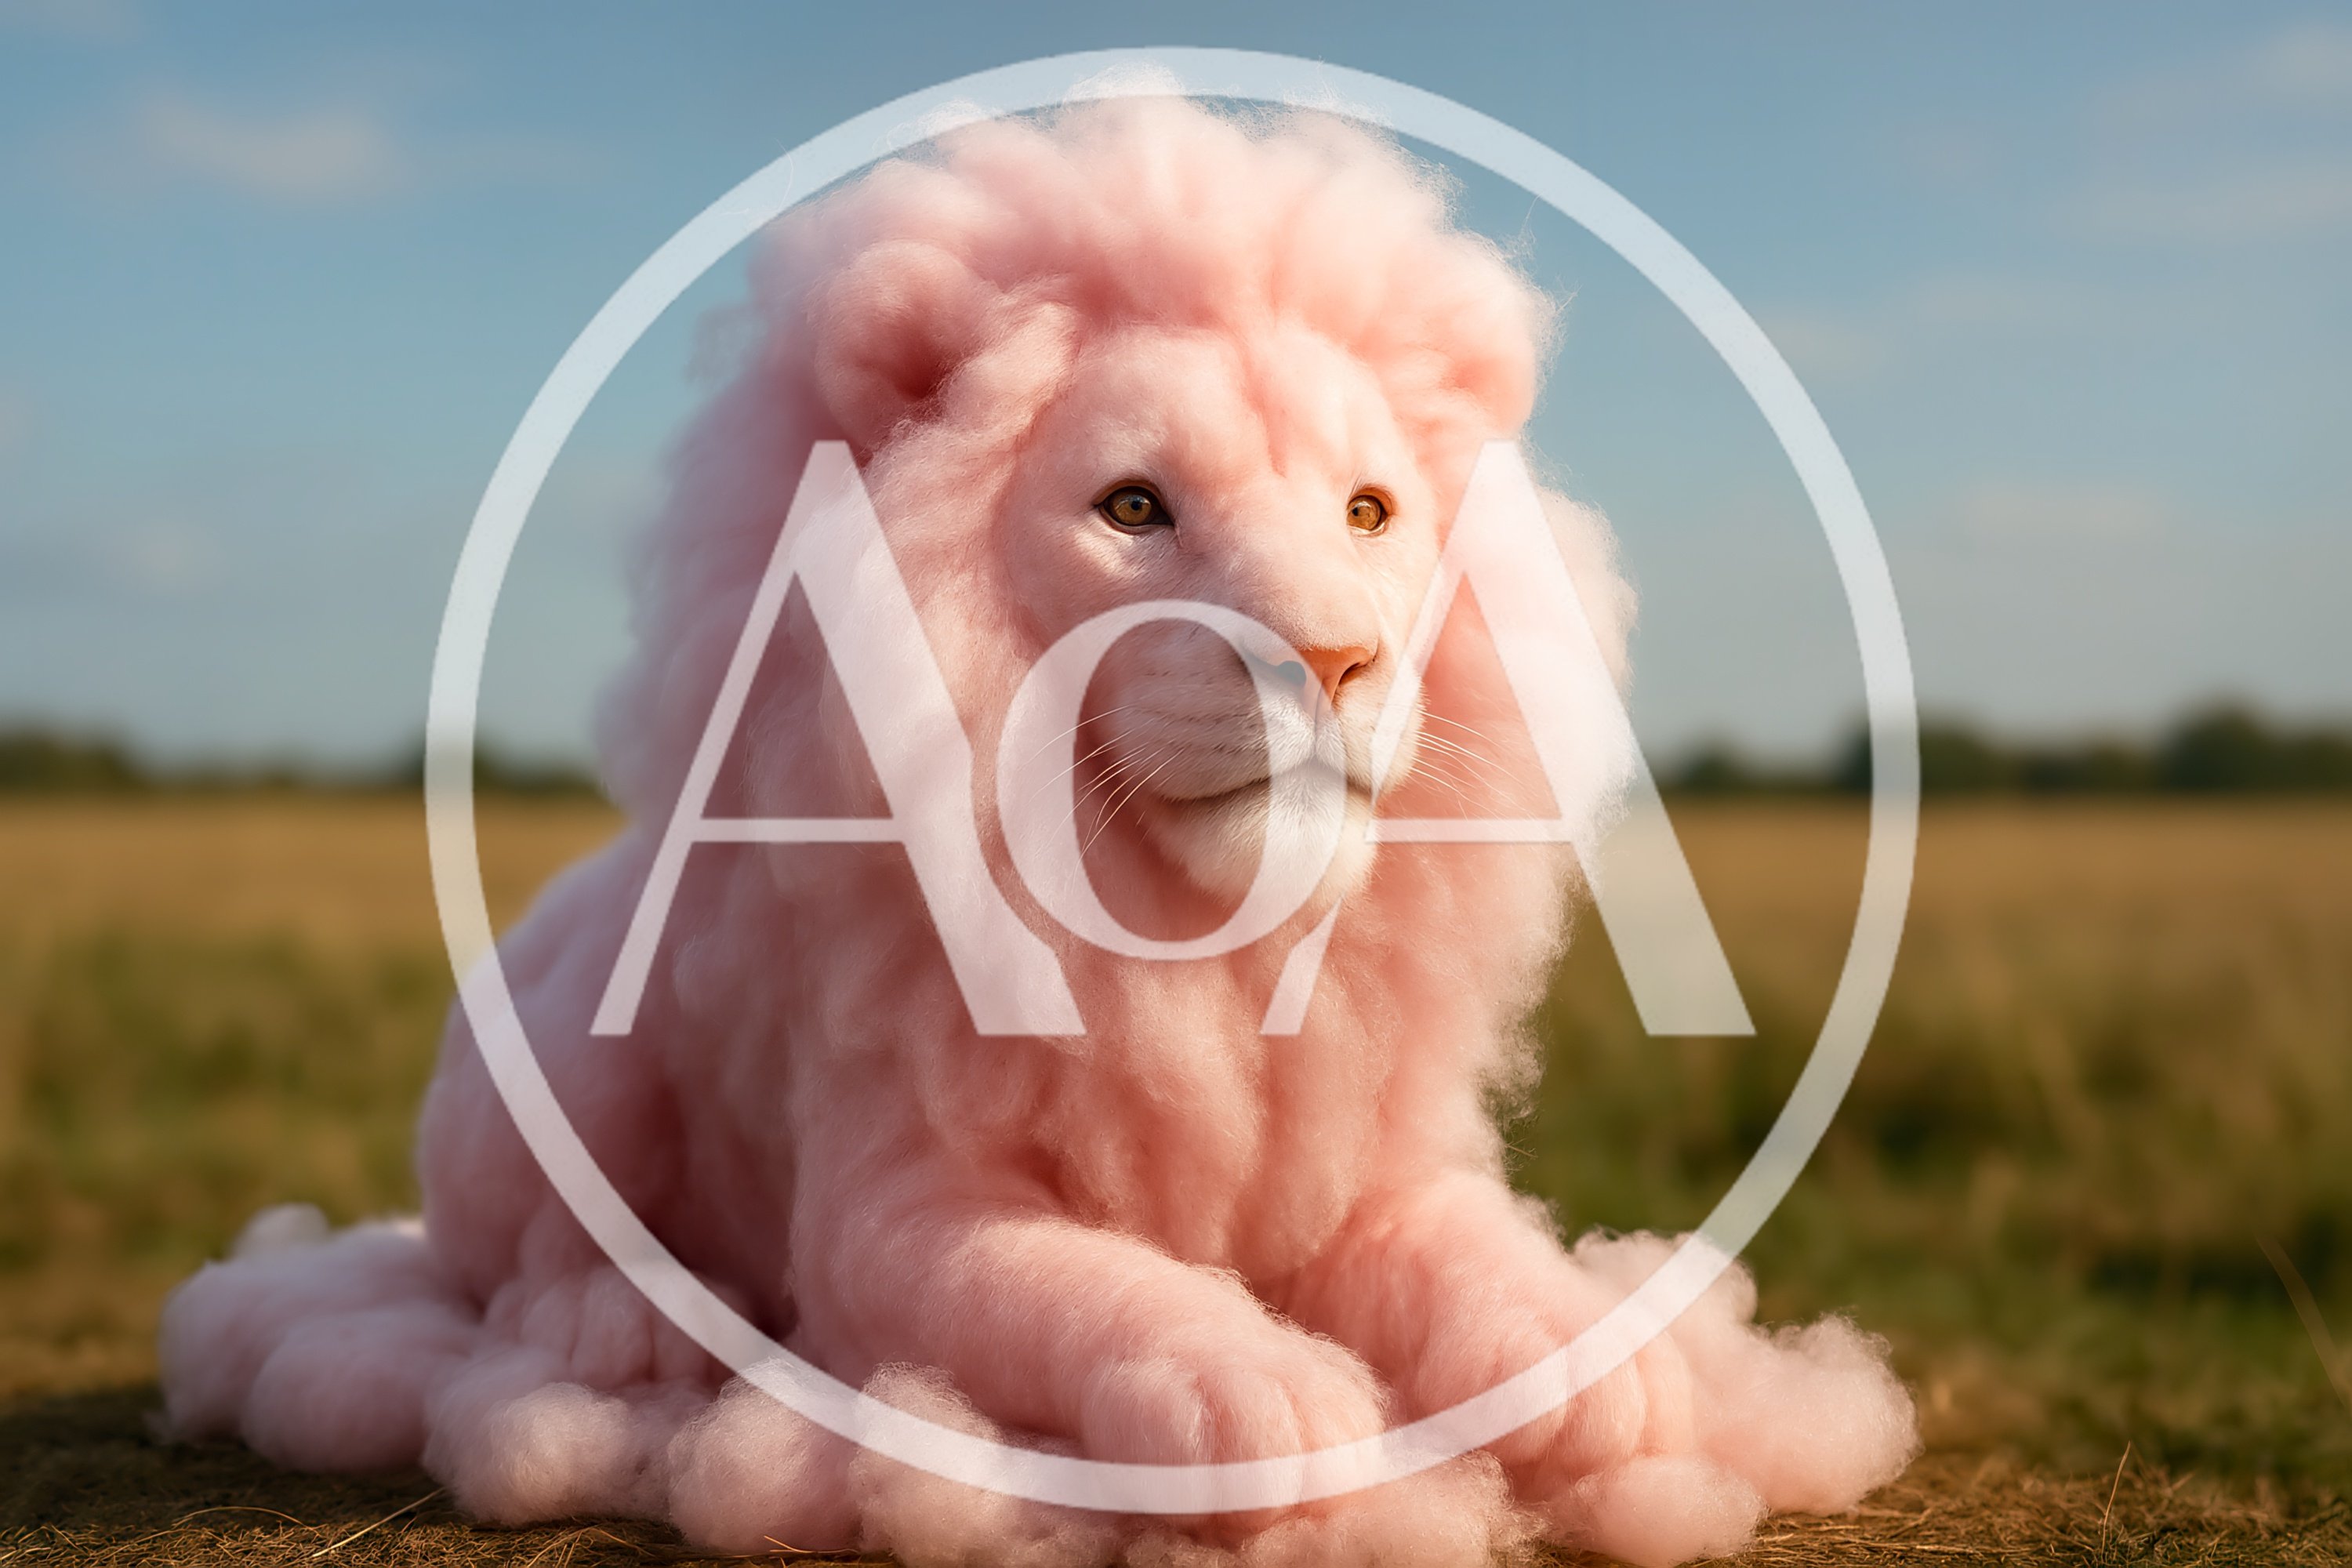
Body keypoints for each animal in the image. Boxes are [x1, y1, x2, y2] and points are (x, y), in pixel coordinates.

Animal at [159, 94, 1917, 1567]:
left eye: (1371, 513)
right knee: (512, 1257)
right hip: (549, 1058)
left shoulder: (1372, 1173)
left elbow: (1474, 1260)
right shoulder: (893, 1222)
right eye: (1133, 508)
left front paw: (1594, 1366)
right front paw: (1274, 1398)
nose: (1338, 658)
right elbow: (1096, 1286)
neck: (1198, 935)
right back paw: (630, 1331)